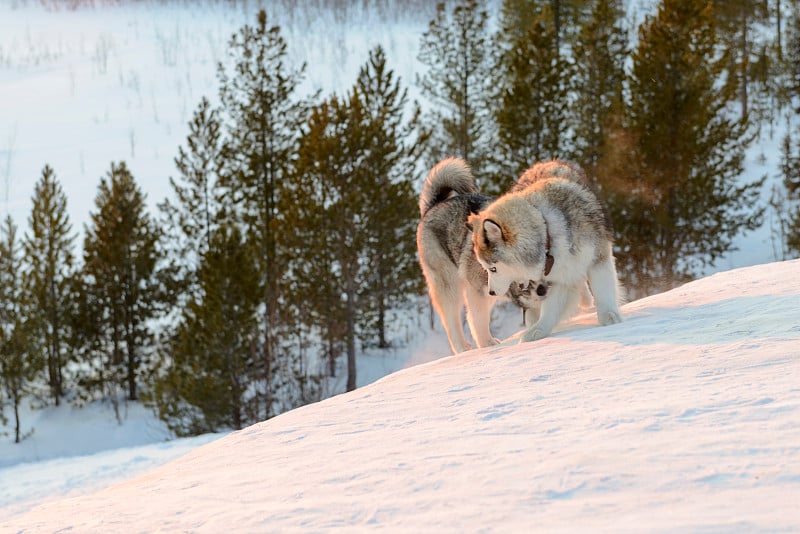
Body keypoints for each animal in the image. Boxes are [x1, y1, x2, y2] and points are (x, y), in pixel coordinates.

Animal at [466, 159, 620, 346]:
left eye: (493, 268)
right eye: (487, 268)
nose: (491, 292)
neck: (547, 231)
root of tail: (544, 163)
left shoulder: (598, 257)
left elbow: (603, 290)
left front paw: (609, 316)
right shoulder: (557, 278)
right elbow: (550, 309)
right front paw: (538, 331)